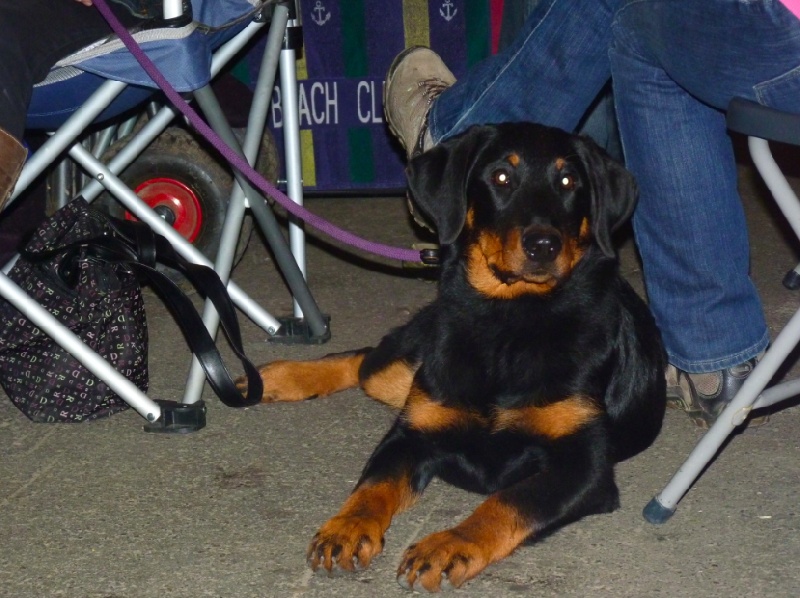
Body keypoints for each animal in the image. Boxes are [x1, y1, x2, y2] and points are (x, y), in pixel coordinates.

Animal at [249, 122, 666, 592]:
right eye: (501, 177)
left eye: (568, 181)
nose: (544, 244)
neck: (511, 320)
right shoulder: (412, 433)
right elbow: (372, 486)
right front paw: (347, 528)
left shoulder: (585, 467)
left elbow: (507, 501)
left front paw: (450, 545)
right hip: (409, 365)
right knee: (367, 360)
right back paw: (276, 378)